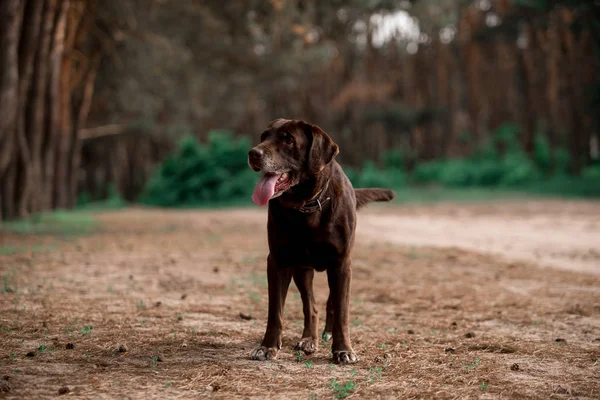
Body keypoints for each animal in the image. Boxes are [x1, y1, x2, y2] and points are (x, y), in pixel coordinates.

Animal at [246, 118, 396, 362]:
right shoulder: (278, 261)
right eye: (264, 137)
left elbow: (342, 310)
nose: (253, 153)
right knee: (311, 306)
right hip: (302, 269)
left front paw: (343, 349)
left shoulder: (342, 262)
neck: (306, 205)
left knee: (331, 303)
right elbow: (275, 310)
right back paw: (310, 339)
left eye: (288, 140)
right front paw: (267, 346)